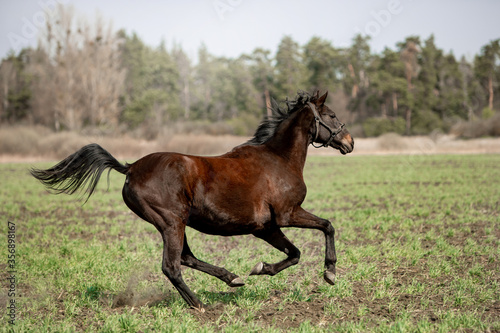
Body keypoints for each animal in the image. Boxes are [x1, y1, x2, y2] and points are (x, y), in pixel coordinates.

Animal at [31, 90, 354, 308]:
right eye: (332, 115)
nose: (350, 142)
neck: (279, 159)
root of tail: (131, 167)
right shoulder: (288, 214)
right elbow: (327, 226)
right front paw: (330, 272)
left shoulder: (266, 227)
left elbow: (294, 253)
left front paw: (261, 269)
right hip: (171, 221)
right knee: (172, 266)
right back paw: (199, 304)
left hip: (176, 223)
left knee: (186, 258)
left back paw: (231, 278)